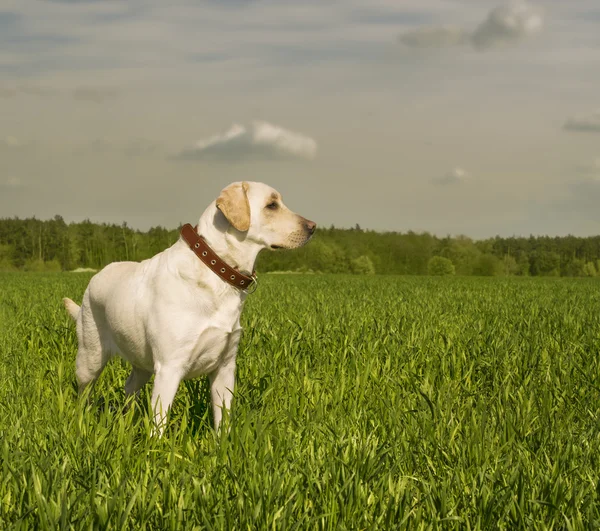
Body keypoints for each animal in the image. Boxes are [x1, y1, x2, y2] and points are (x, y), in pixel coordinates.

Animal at [63, 182, 316, 432]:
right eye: (271, 205)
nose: (313, 227)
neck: (216, 269)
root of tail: (96, 276)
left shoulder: (225, 367)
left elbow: (223, 421)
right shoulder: (169, 368)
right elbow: (159, 424)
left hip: (142, 363)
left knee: (129, 386)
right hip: (90, 358)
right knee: (83, 394)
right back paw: (82, 422)